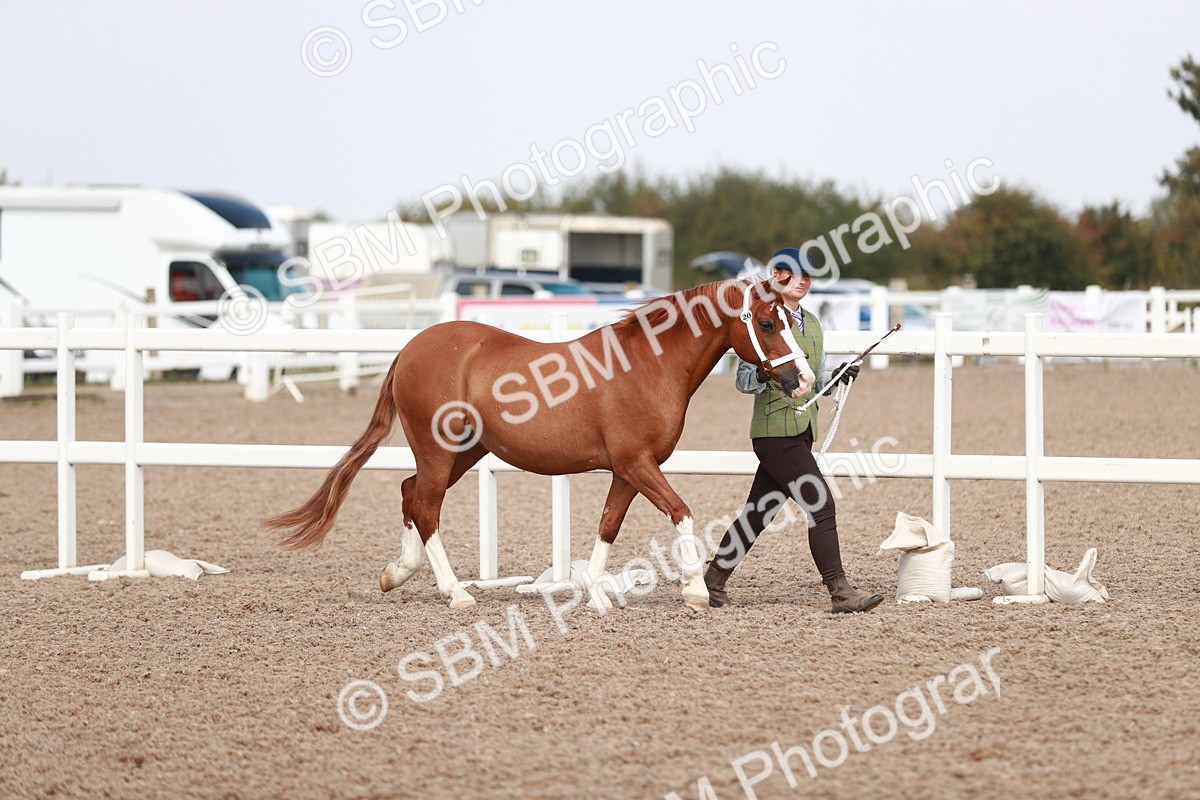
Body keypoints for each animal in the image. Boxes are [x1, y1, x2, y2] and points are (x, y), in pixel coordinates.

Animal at [264, 277, 817, 612]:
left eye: (787, 319)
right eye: (767, 322)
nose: (805, 381)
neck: (647, 366)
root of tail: (409, 349)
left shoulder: (627, 470)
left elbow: (608, 526)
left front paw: (596, 595)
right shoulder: (638, 464)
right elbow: (681, 512)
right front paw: (696, 592)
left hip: (466, 452)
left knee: (408, 493)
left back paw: (396, 574)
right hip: (440, 451)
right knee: (425, 507)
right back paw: (455, 593)